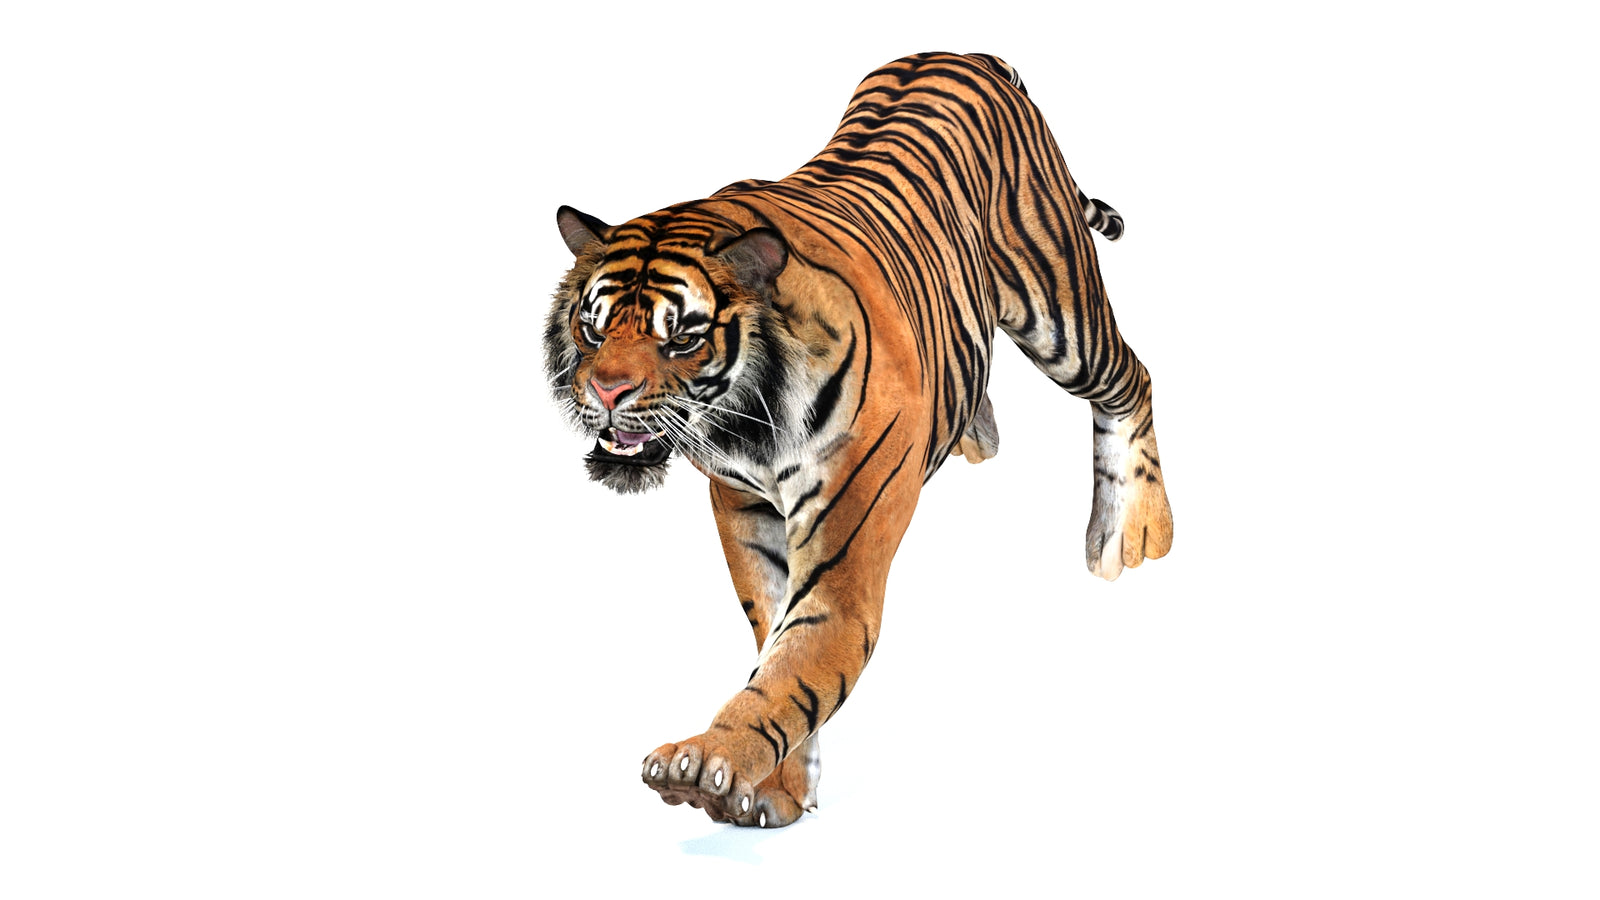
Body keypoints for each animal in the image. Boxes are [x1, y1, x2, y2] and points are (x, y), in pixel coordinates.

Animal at [543, 52, 1172, 828]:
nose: (605, 392)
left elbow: (799, 658)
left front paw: (708, 764)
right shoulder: (745, 512)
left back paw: (1133, 535)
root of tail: (967, 51)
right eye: (592, 327)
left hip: (1059, 307)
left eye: (682, 339)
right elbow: (775, 644)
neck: (749, 423)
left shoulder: (844, 550)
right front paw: (775, 790)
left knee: (1131, 379)